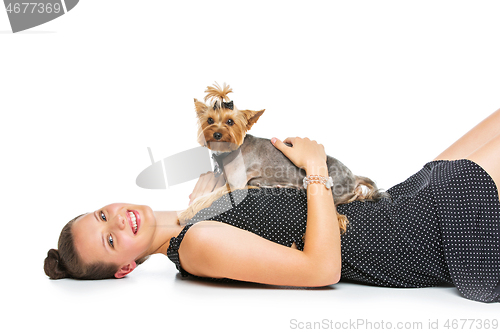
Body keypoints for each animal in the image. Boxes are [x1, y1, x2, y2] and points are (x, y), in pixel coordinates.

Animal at [182, 82, 388, 231]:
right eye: (209, 120)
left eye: (230, 122)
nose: (217, 134)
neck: (230, 151)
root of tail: (354, 176)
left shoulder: (236, 183)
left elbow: (208, 197)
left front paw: (186, 213)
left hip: (333, 191)